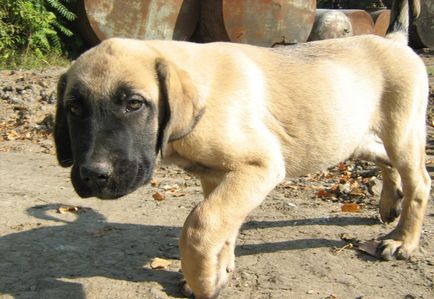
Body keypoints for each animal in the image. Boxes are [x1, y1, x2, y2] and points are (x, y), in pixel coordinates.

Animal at [53, 1, 428, 298]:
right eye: (74, 108)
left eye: (134, 103)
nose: (94, 175)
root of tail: (393, 40)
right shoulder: (218, 177)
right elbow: (223, 226)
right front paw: (219, 267)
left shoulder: (259, 167)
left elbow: (201, 224)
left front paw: (205, 282)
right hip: (352, 137)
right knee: (386, 160)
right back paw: (389, 203)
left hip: (403, 132)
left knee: (419, 183)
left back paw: (402, 241)